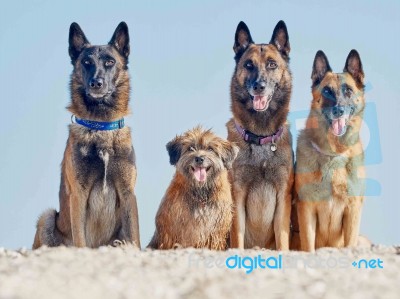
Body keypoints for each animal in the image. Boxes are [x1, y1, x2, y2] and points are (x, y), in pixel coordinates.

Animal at [32, 22, 141, 250]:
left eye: (110, 62)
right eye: (86, 62)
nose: (96, 83)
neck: (101, 127)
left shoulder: (128, 193)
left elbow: (136, 236)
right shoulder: (79, 195)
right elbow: (80, 239)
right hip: (47, 217)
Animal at [227, 21, 296, 251]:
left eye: (272, 64)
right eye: (249, 65)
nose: (259, 86)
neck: (260, 137)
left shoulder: (283, 197)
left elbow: (282, 239)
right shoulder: (237, 195)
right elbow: (237, 237)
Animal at [294, 50, 366, 252]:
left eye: (348, 90)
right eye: (327, 91)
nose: (338, 110)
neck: (334, 154)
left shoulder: (353, 209)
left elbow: (349, 244)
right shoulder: (307, 208)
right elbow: (308, 245)